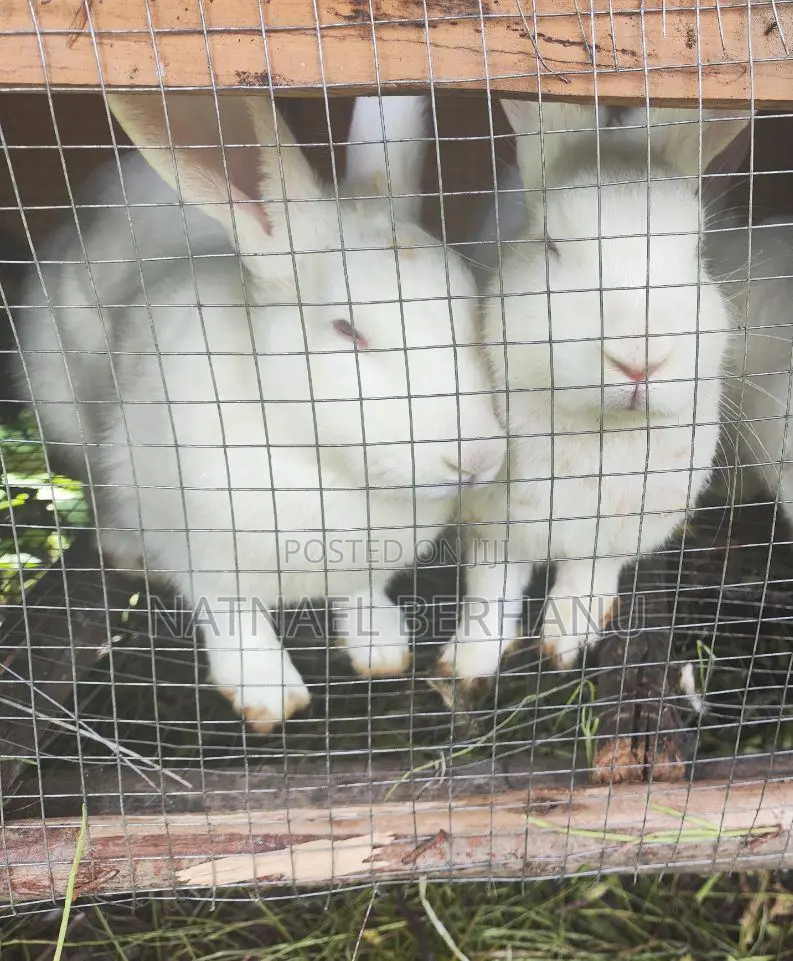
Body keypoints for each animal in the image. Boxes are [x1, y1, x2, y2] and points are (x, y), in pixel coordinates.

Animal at [13, 92, 506, 733]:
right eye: (347, 330)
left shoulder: (364, 564)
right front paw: (269, 695)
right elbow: (230, 612)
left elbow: (362, 593)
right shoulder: (196, 544)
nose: (480, 457)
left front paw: (382, 650)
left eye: (471, 306)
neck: (323, 466)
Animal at [438, 100, 749, 687]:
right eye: (552, 247)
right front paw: (463, 671)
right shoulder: (491, 523)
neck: (602, 430)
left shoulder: (623, 529)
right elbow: (491, 590)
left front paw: (567, 640)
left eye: (697, 251)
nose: (639, 358)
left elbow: (587, 574)